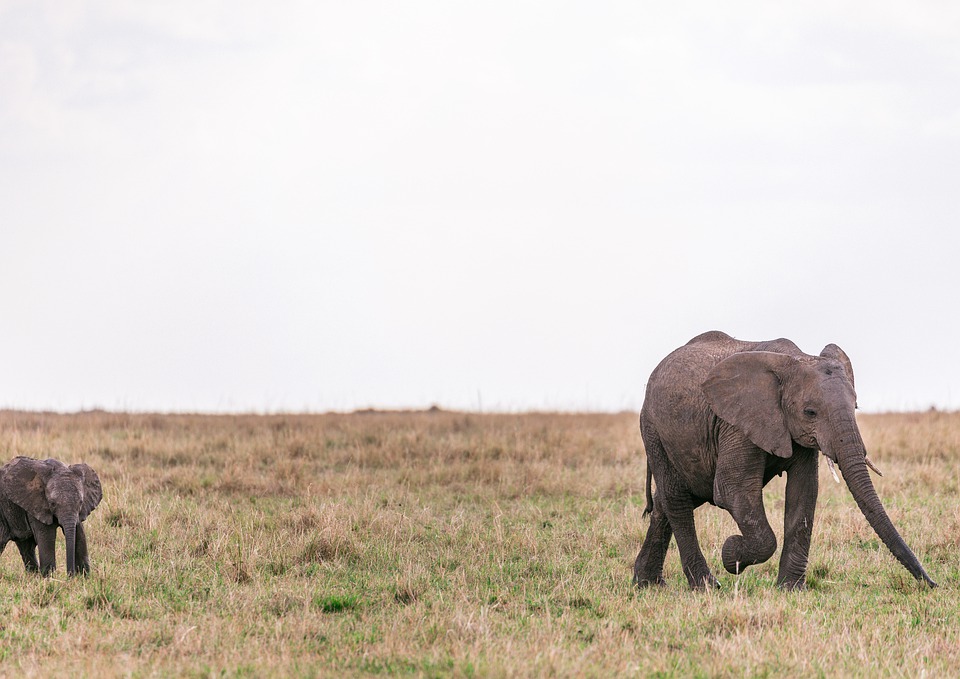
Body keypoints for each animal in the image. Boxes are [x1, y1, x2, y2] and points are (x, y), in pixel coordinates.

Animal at [634, 331, 936, 590]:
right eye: (810, 412)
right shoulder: (737, 422)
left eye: (856, 406)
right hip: (654, 430)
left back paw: (647, 584)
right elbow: (732, 490)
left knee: (670, 501)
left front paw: (791, 589)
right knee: (678, 500)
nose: (933, 585)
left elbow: (804, 491)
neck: (797, 359)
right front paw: (731, 554)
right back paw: (706, 586)